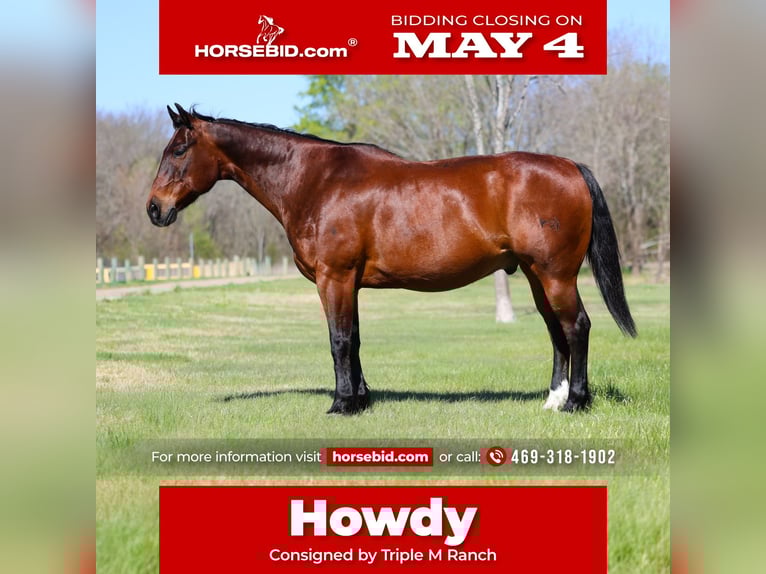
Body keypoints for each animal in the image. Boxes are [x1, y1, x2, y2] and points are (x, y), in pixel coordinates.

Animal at [147, 104, 637, 415]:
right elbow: (355, 339)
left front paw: (342, 404)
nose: (154, 208)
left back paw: (575, 402)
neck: (315, 180)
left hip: (556, 276)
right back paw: (553, 399)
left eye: (179, 150)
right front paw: (362, 397)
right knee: (557, 331)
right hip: (538, 276)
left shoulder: (334, 278)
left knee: (577, 327)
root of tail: (570, 167)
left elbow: (339, 340)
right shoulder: (348, 282)